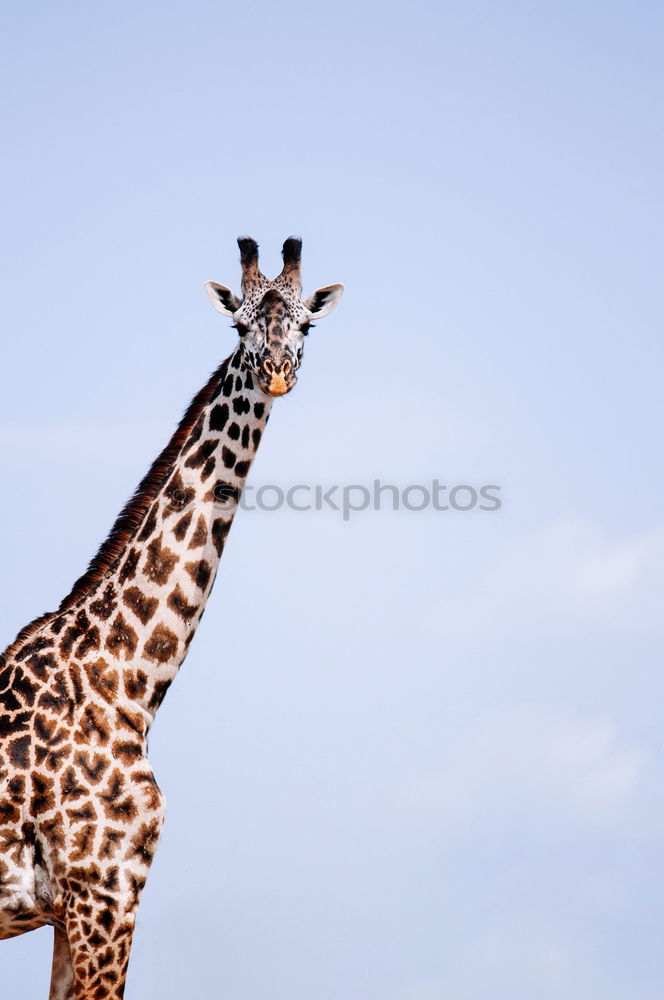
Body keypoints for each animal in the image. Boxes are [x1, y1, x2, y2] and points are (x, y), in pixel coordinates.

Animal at [0, 240, 342, 1000]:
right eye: (240, 327)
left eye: (304, 324)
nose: (277, 372)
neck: (125, 678)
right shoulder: (104, 894)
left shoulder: (79, 910)